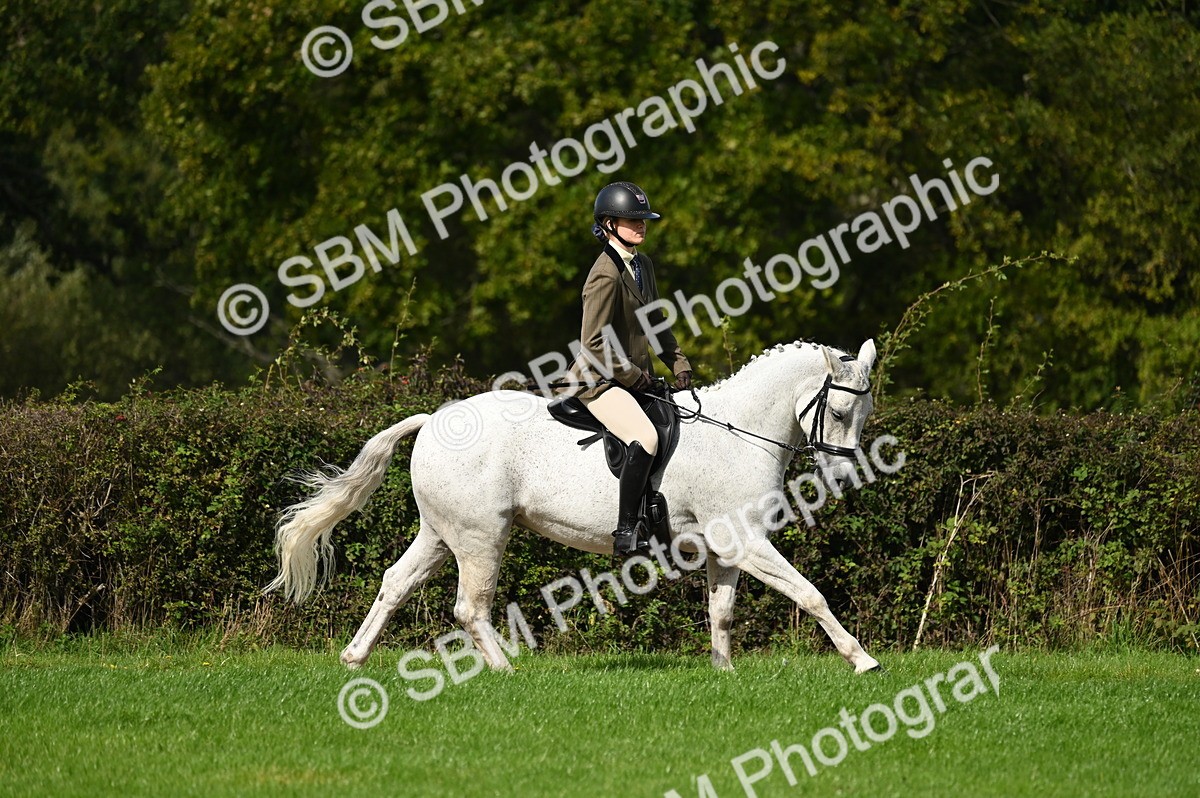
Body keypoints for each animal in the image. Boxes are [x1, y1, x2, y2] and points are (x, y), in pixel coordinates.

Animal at [266, 339, 883, 674]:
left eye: (866, 410)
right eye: (839, 411)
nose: (844, 476)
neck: (740, 431)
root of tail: (434, 419)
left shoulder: (727, 545)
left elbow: (722, 611)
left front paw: (723, 672)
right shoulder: (748, 542)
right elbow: (810, 593)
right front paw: (862, 660)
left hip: (442, 533)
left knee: (395, 582)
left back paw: (354, 658)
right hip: (480, 537)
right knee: (470, 607)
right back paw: (506, 670)